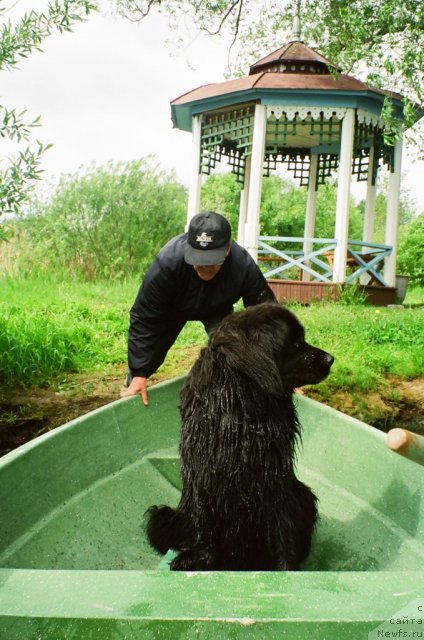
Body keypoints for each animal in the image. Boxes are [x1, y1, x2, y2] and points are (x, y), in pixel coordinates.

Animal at [146, 302, 334, 572]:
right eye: (297, 343)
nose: (331, 359)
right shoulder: (203, 479)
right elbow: (205, 530)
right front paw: (196, 561)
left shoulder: (274, 480)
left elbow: (282, 530)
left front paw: (286, 568)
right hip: (164, 519)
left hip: (303, 495)